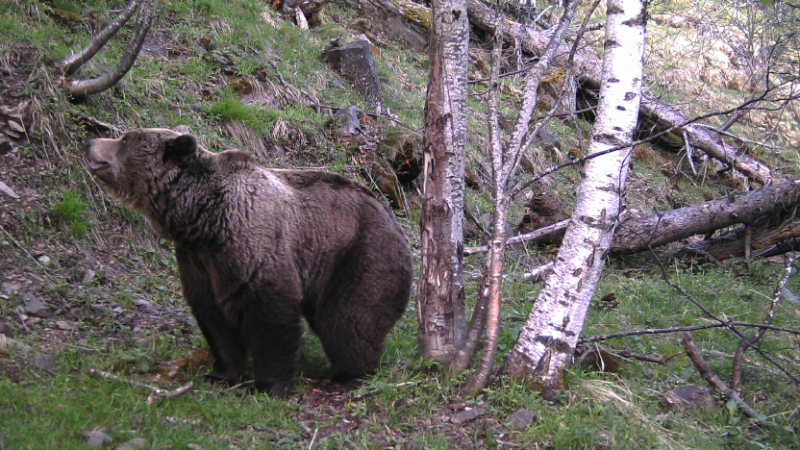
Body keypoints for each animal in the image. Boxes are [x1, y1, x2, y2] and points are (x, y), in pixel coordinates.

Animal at [87, 128, 412, 396]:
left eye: (124, 140)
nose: (91, 142)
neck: (205, 218)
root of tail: (393, 216)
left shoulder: (253, 244)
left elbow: (271, 311)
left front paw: (267, 384)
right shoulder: (199, 261)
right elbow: (213, 317)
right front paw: (221, 373)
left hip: (360, 253)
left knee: (347, 318)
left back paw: (348, 376)